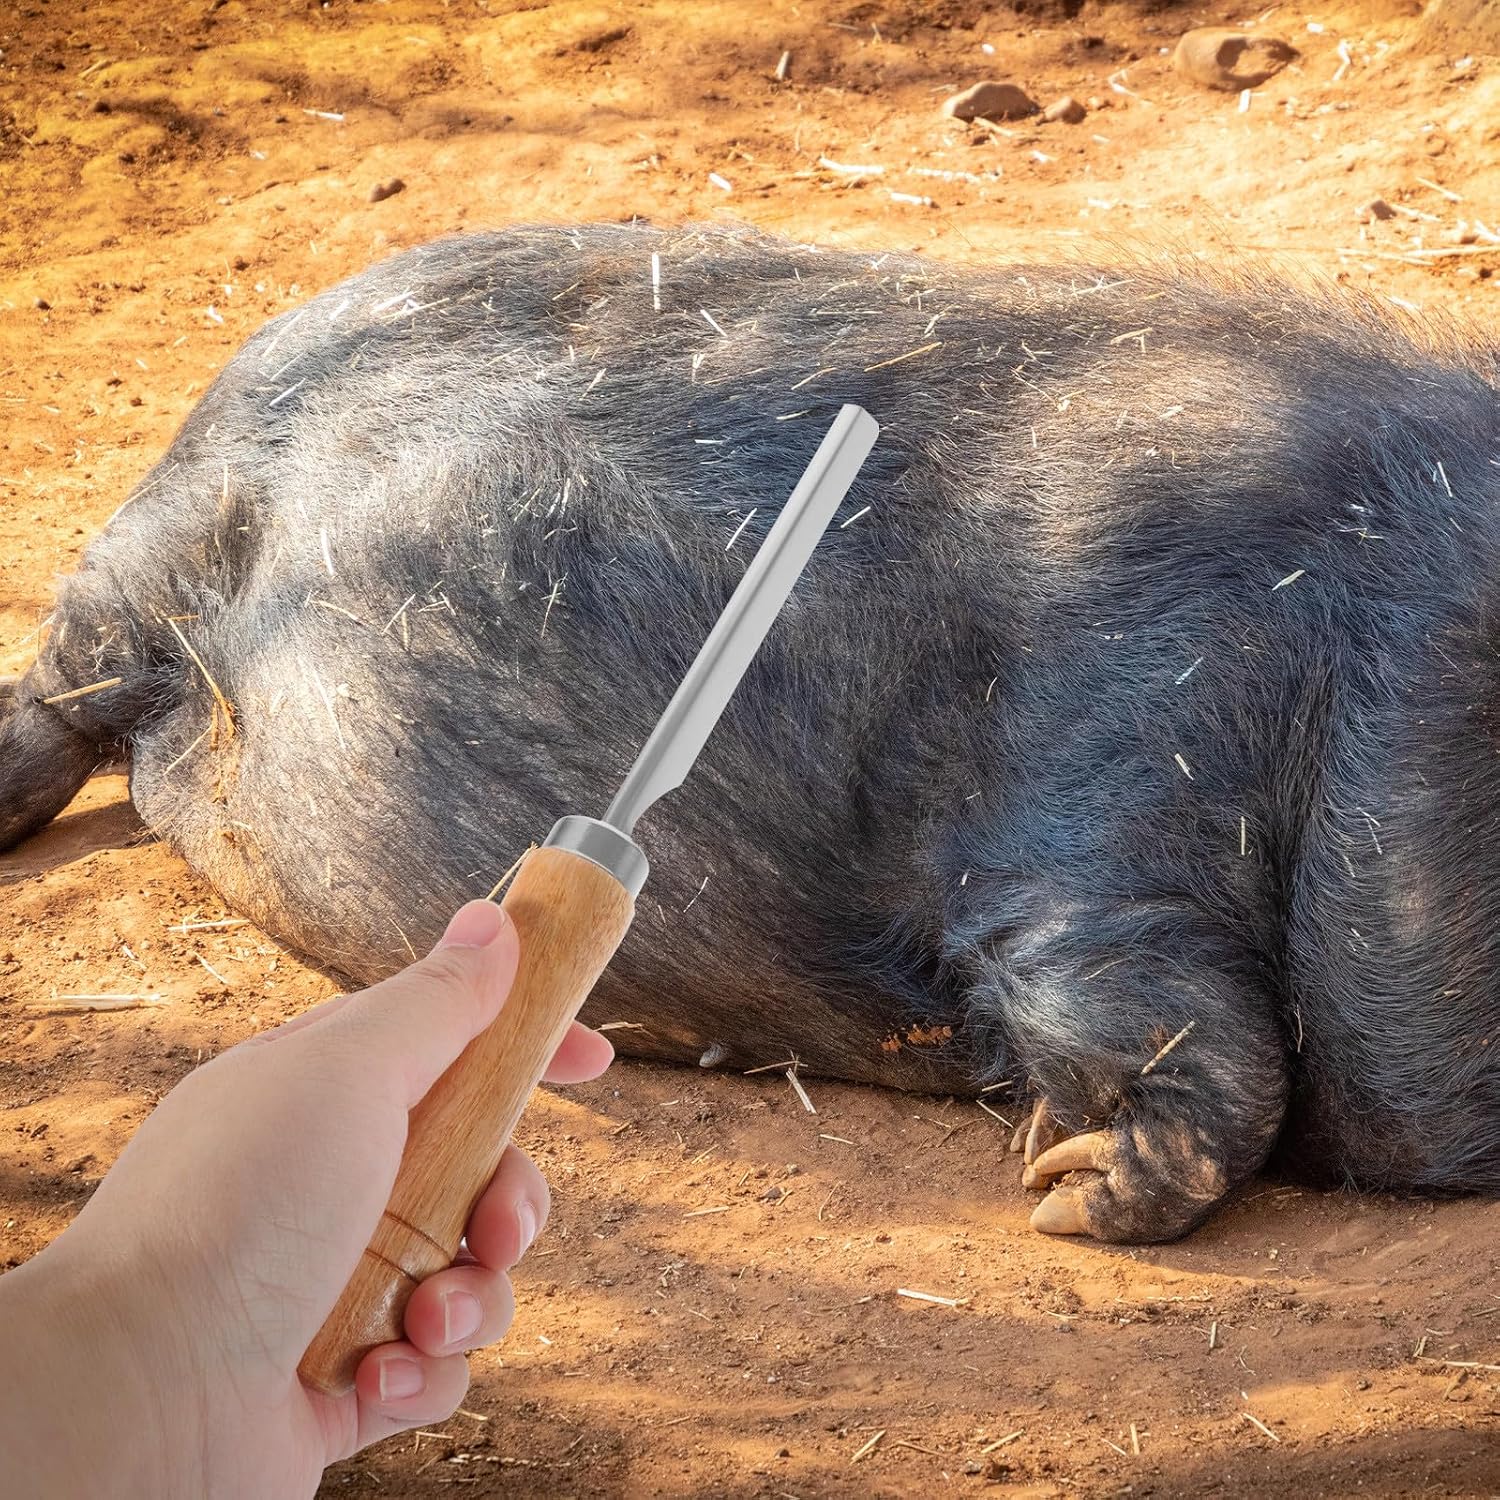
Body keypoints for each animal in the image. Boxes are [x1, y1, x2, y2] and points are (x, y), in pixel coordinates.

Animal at [3, 222, 1497, 1243]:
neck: (1370, 645)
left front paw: (1059, 1182)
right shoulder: (1107, 773)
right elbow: (1181, 1020)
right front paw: (1058, 1195)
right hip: (154, 552)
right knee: (67, 673)